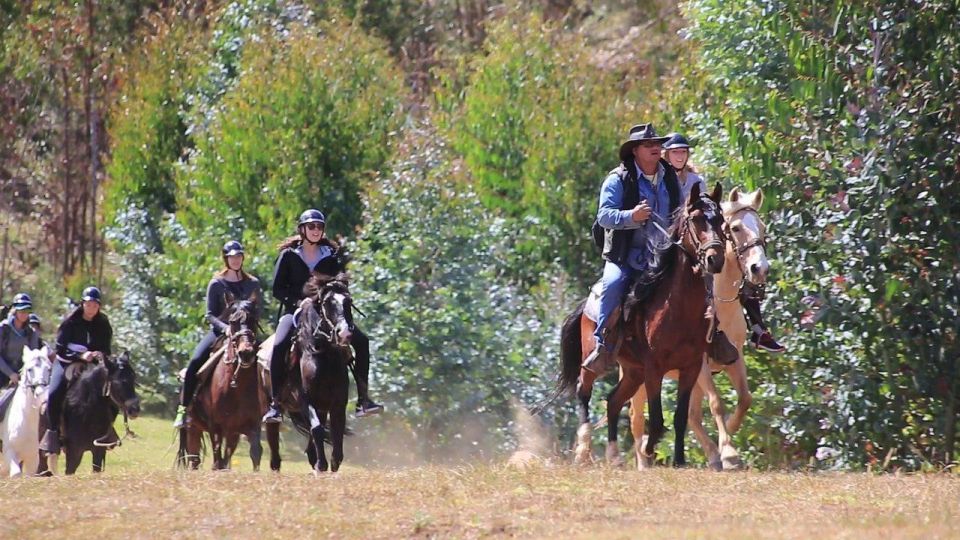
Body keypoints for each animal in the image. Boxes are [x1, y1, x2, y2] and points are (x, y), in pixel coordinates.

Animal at [0, 346, 52, 476]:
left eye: (48, 369)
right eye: (30, 369)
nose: (41, 394)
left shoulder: (32, 459)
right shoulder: (9, 453)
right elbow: (16, 474)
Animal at [178, 294, 274, 470]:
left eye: (253, 319)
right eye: (232, 322)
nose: (246, 353)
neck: (237, 386)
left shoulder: (251, 426)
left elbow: (255, 453)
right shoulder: (216, 427)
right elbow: (217, 459)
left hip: (232, 433)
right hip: (193, 426)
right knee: (194, 458)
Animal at [270, 274, 356, 472]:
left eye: (348, 301)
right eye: (327, 302)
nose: (344, 333)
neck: (323, 355)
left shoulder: (338, 402)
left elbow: (336, 431)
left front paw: (333, 462)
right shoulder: (306, 399)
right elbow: (317, 429)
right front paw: (321, 464)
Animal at [556, 184, 728, 466]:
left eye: (721, 220)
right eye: (696, 219)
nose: (716, 258)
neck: (677, 309)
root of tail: (585, 305)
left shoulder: (690, 368)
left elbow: (680, 417)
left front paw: (678, 461)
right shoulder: (653, 368)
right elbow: (657, 420)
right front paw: (647, 450)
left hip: (632, 371)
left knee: (613, 401)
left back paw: (614, 456)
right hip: (595, 362)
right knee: (584, 391)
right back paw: (583, 450)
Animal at [632, 188, 772, 470]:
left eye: (762, 227)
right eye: (735, 228)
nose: (759, 269)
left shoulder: (733, 357)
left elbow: (745, 398)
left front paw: (730, 432)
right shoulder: (701, 365)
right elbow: (716, 402)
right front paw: (729, 452)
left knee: (693, 415)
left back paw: (712, 454)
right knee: (636, 415)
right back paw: (644, 460)